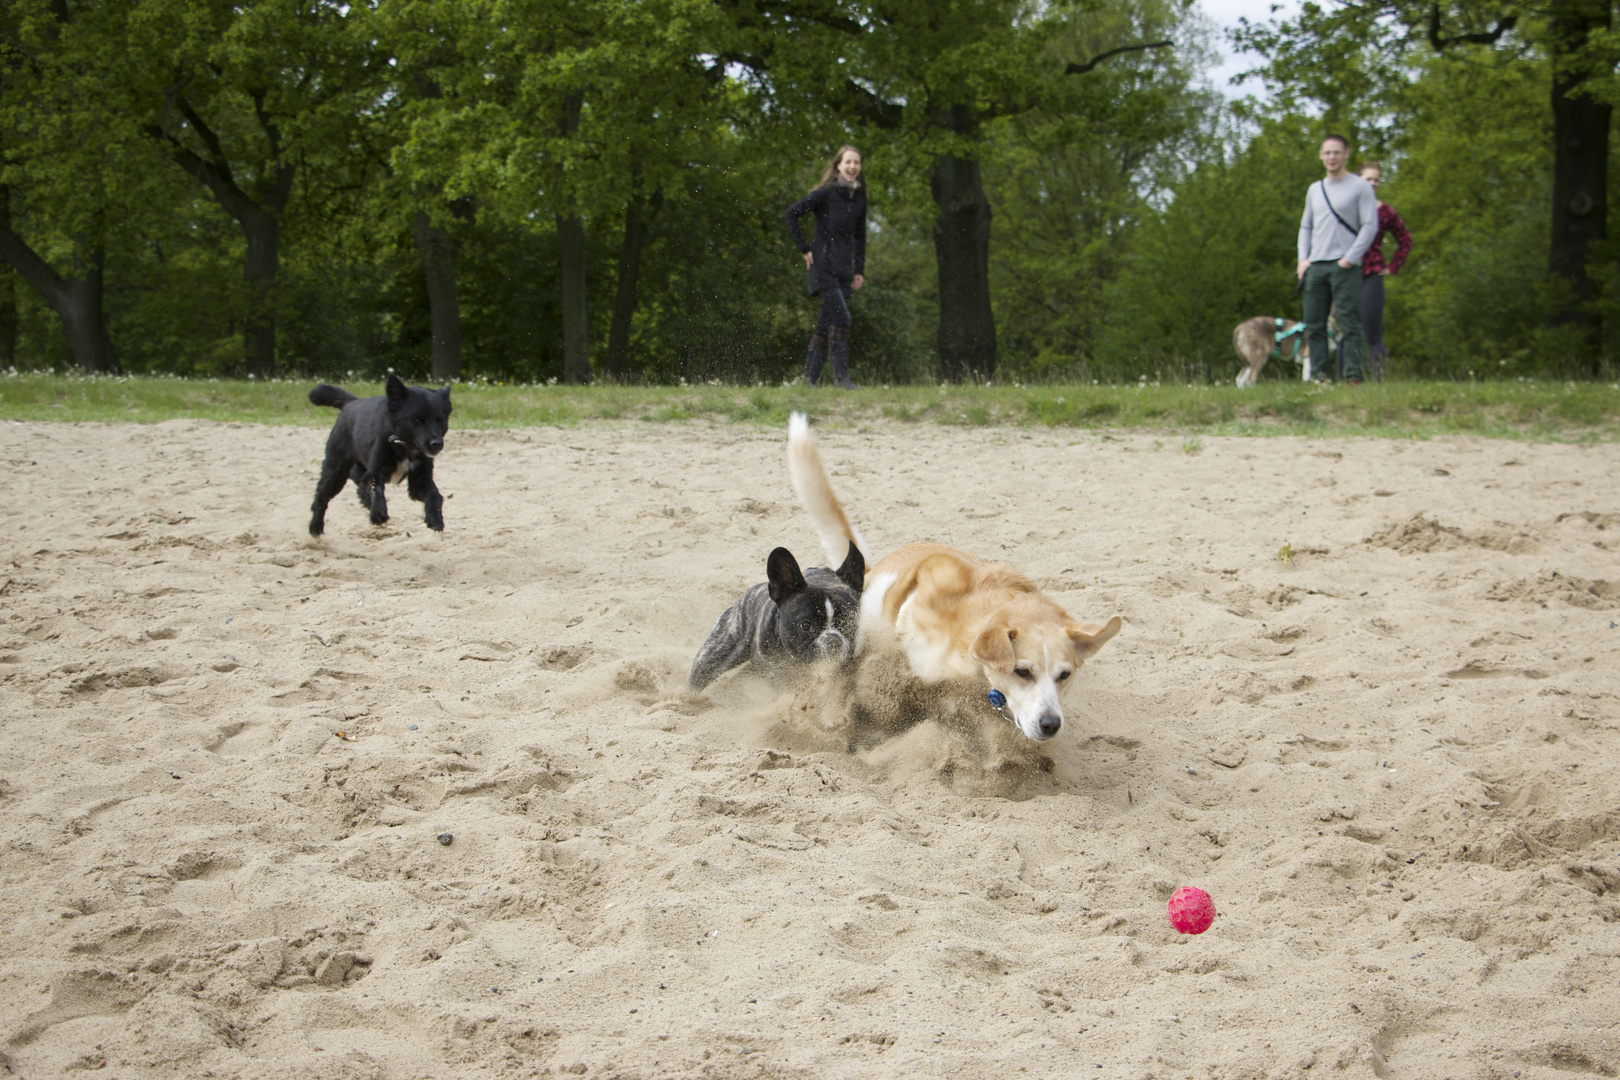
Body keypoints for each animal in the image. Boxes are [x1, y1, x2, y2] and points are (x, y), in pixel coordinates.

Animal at [306, 374, 450, 537]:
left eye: (441, 419)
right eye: (418, 419)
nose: (436, 443)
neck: (402, 444)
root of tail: (351, 403)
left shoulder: (419, 480)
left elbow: (434, 494)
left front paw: (435, 519)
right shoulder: (375, 470)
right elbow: (374, 488)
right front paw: (378, 514)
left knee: (357, 482)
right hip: (336, 470)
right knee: (322, 496)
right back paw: (315, 527)